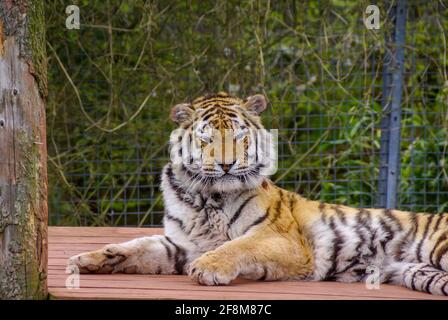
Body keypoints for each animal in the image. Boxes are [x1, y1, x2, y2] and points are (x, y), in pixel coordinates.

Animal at [68, 91, 448, 296]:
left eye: (238, 137)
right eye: (206, 139)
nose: (226, 164)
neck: (207, 197)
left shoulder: (284, 240)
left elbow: (238, 246)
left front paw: (208, 268)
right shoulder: (182, 243)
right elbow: (140, 247)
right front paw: (88, 258)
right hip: (421, 274)